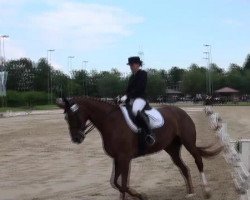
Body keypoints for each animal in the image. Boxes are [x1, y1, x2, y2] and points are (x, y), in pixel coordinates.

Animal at [56, 96, 223, 199]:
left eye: (74, 115)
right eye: (65, 117)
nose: (76, 139)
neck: (110, 122)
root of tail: (181, 111)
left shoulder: (124, 158)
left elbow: (122, 184)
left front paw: (141, 195)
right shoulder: (117, 159)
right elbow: (115, 183)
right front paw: (138, 195)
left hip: (189, 143)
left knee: (198, 160)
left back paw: (207, 191)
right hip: (172, 148)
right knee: (183, 167)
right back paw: (190, 193)